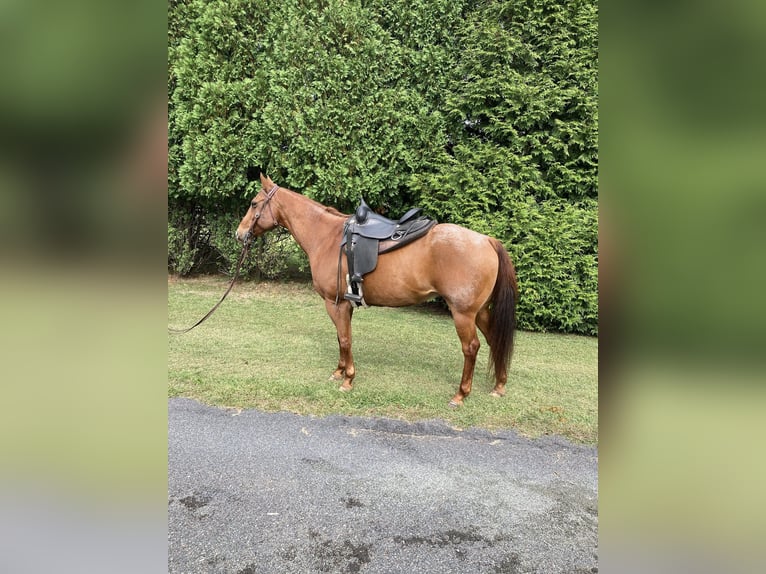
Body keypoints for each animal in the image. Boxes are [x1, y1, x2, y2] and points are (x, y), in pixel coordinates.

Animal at [235, 173, 518, 407]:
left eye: (253, 203)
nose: (239, 234)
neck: (326, 237)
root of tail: (487, 240)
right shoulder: (345, 304)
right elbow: (342, 338)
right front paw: (339, 371)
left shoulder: (335, 303)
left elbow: (345, 339)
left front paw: (348, 380)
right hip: (480, 311)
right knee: (493, 339)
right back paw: (499, 386)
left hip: (463, 314)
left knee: (471, 348)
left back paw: (461, 394)